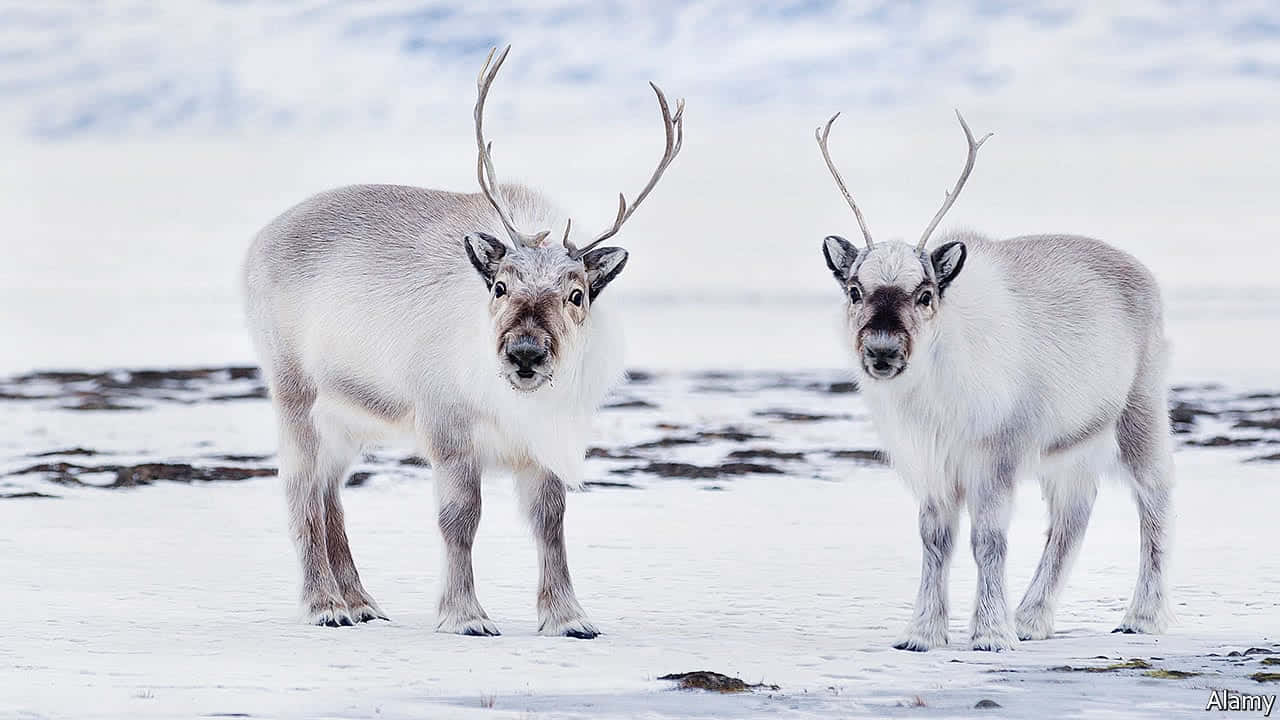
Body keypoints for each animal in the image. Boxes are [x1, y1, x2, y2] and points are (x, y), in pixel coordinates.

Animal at [242, 46, 684, 637]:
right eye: (499, 285)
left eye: (576, 294)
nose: (525, 353)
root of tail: (260, 239)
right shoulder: (447, 429)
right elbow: (460, 519)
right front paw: (465, 614)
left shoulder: (542, 443)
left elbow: (551, 521)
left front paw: (568, 617)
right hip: (295, 394)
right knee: (302, 490)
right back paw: (325, 605)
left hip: (347, 420)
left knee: (331, 494)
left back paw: (360, 601)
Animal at [813, 110, 1173, 651]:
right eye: (855, 290)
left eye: (924, 293)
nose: (882, 349)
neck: (930, 397)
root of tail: (1144, 274)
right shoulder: (932, 467)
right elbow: (935, 540)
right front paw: (922, 633)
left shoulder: (993, 458)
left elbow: (988, 540)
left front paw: (988, 633)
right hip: (1071, 448)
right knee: (1072, 519)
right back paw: (1031, 619)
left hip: (1141, 415)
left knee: (1154, 502)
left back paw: (1141, 617)